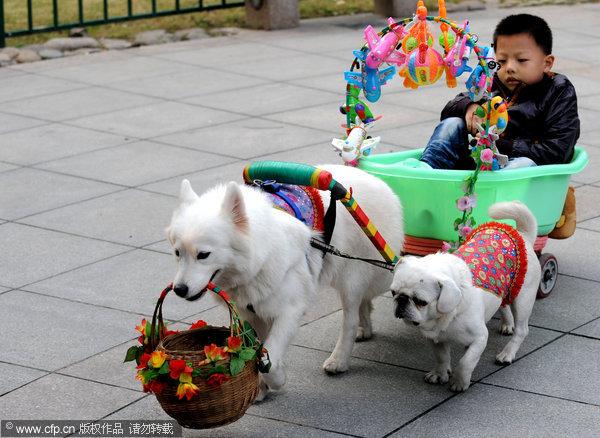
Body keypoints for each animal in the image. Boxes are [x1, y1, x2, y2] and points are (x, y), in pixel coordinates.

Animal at [164, 165, 404, 400]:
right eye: (177, 253)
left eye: (203, 255)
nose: (179, 290)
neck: (259, 256)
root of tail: (379, 181)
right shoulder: (249, 312)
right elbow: (255, 352)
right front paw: (259, 389)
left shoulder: (289, 310)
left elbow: (267, 354)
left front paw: (277, 380)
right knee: (364, 304)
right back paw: (366, 329)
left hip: (351, 280)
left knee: (350, 319)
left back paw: (339, 360)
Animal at [392, 200, 540, 392]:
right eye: (393, 292)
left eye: (420, 302)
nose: (401, 300)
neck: (445, 317)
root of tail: (524, 237)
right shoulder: (435, 339)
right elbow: (441, 357)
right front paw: (440, 373)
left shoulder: (480, 338)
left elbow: (465, 362)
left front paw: (459, 382)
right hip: (505, 290)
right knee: (504, 306)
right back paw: (507, 324)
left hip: (523, 300)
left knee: (521, 330)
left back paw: (507, 354)